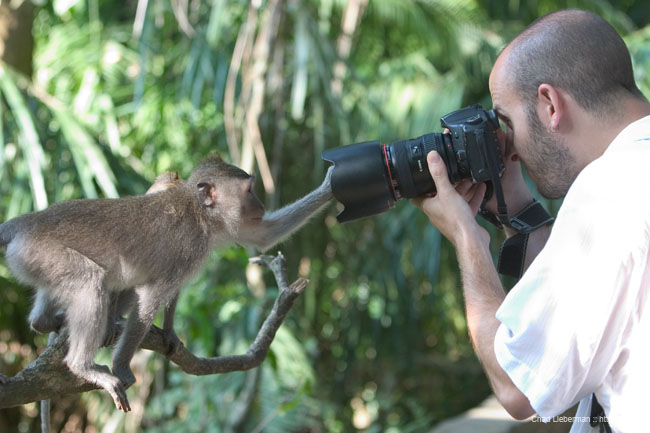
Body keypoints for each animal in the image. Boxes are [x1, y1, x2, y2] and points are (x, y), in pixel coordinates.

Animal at [0, 154, 332, 408]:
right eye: (249, 190)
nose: (260, 205)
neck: (200, 213)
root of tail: (28, 222)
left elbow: (264, 235)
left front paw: (331, 185)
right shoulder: (189, 246)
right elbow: (149, 298)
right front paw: (122, 366)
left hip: (34, 261)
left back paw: (46, 322)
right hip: (42, 252)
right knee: (89, 281)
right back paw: (82, 365)